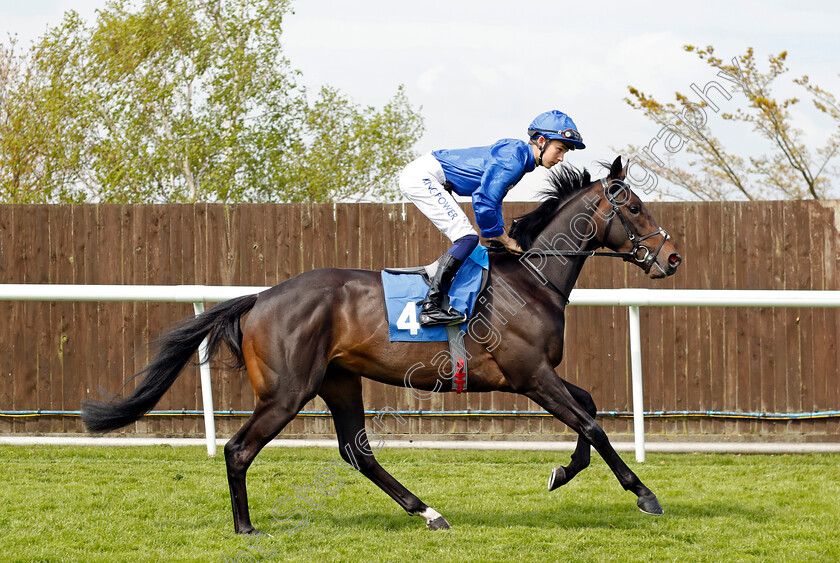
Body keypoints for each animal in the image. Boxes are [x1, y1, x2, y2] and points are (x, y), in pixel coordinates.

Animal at [80, 158, 684, 532]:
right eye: (634, 207)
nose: (672, 257)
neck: (530, 278)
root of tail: (260, 298)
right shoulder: (529, 374)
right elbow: (591, 422)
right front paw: (643, 493)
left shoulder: (536, 373)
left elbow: (588, 407)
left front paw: (563, 471)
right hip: (286, 392)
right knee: (239, 449)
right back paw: (246, 527)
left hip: (339, 381)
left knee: (357, 452)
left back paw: (428, 512)